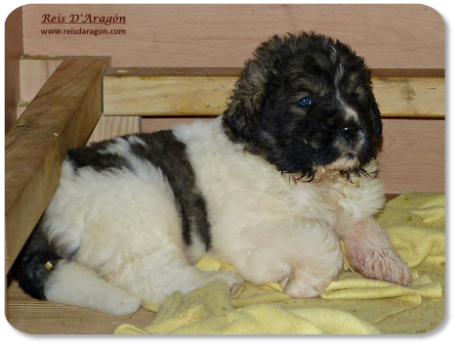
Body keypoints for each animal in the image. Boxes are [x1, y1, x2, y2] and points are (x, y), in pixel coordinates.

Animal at [14, 32, 412, 316]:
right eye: (305, 100)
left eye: (356, 94)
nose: (351, 128)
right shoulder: (252, 233)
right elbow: (322, 237)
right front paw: (303, 285)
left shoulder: (350, 206)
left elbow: (366, 225)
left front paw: (387, 264)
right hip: (144, 207)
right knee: (150, 276)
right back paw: (220, 280)